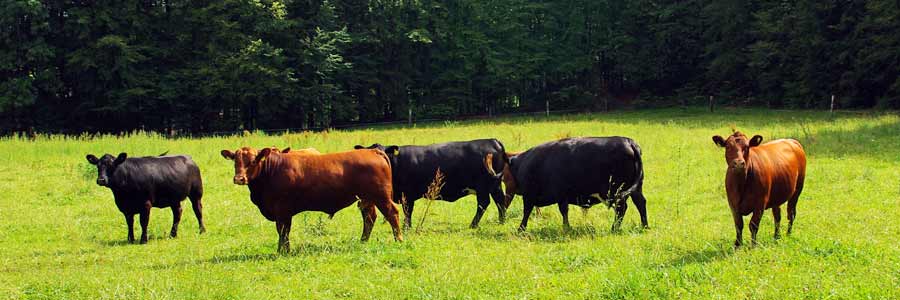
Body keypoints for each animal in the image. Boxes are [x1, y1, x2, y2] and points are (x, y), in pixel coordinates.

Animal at [220, 146, 402, 253]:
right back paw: (363, 241)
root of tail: (372, 151)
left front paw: (283, 251)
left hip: (381, 196)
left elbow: (283, 230)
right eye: (235, 161)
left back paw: (398, 239)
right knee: (369, 217)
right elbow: (283, 231)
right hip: (367, 199)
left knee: (392, 214)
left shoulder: (282, 209)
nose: (239, 178)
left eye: (252, 161)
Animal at [506, 137, 648, 232]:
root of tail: (628, 141)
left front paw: (521, 229)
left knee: (621, 208)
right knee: (640, 203)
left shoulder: (530, 195)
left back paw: (614, 228)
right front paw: (567, 227)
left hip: (618, 190)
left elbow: (527, 211)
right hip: (635, 188)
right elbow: (564, 211)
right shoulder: (562, 196)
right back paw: (645, 226)